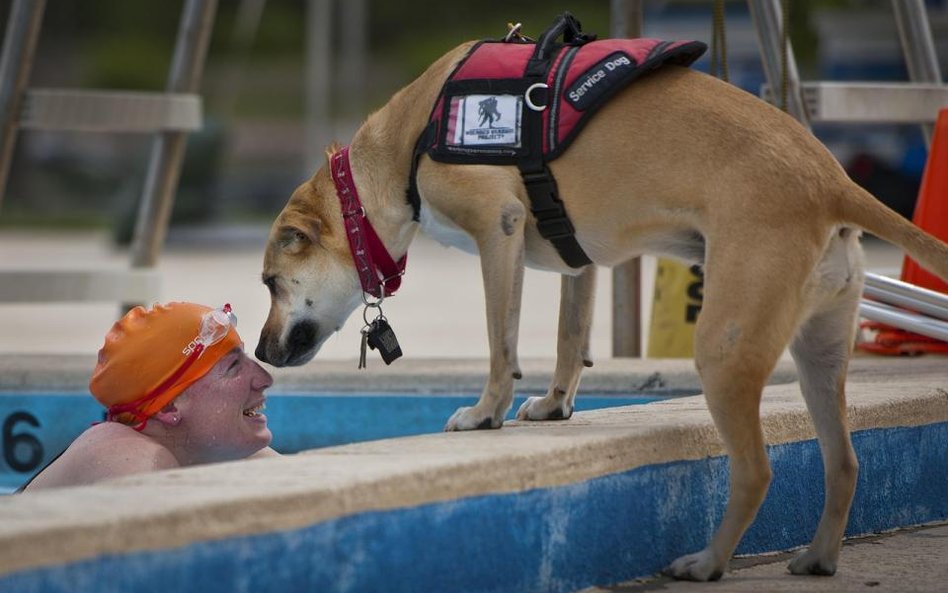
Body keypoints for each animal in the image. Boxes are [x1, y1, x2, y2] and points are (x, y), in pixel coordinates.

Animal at [256, 35, 948, 580]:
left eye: (267, 282)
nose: (259, 351)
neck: (405, 144)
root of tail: (833, 180)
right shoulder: (577, 259)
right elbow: (569, 338)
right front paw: (555, 405)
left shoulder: (499, 230)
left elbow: (501, 343)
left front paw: (485, 414)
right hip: (819, 354)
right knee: (846, 461)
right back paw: (818, 558)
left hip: (724, 349)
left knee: (755, 471)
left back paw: (707, 563)